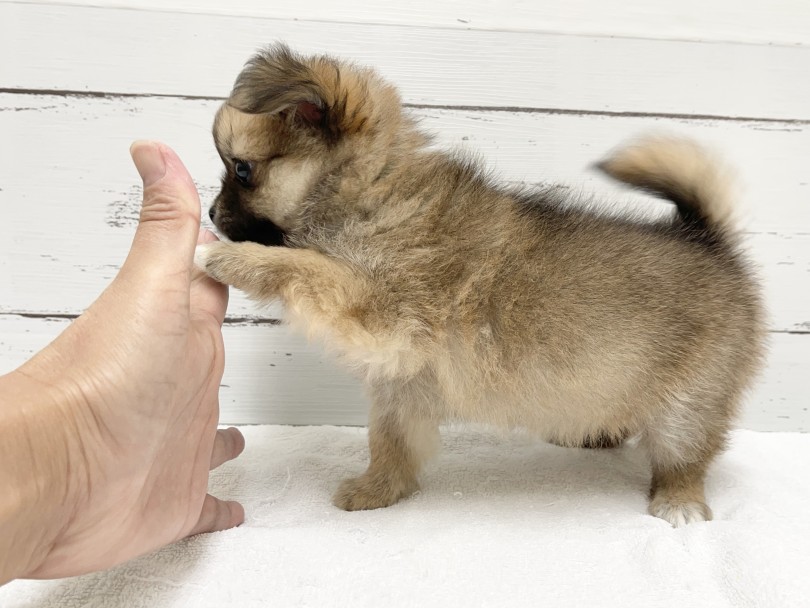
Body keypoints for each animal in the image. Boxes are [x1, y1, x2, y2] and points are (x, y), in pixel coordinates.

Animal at [196, 45, 764, 524]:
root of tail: (707, 240)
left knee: (684, 455)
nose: (211, 213)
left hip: (689, 402)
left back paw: (679, 502)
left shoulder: (381, 308)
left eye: (242, 170)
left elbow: (305, 267)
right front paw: (377, 491)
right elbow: (390, 443)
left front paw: (225, 256)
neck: (371, 193)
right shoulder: (400, 382)